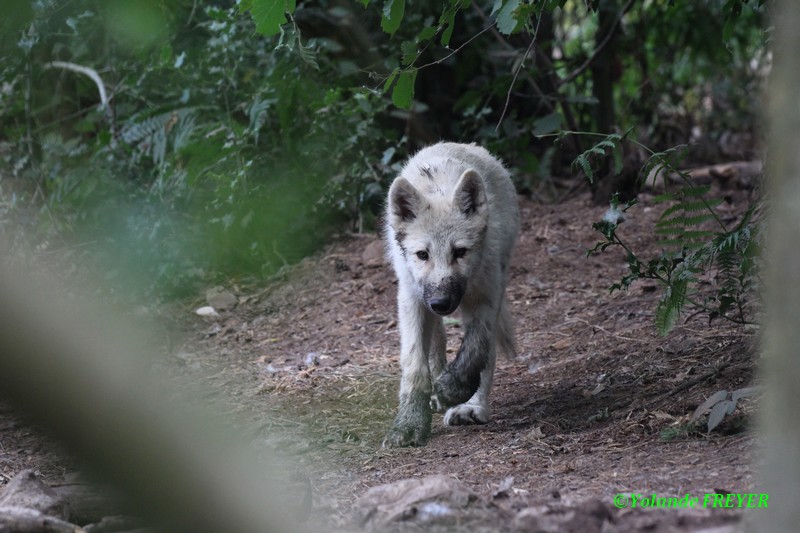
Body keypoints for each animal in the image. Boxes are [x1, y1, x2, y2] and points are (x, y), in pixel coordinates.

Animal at [384, 141, 520, 444]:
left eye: (460, 252)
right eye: (422, 255)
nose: (442, 303)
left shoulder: (486, 295)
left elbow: (476, 350)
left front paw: (452, 390)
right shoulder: (412, 301)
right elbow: (414, 366)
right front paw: (409, 424)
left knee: (486, 353)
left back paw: (471, 407)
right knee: (437, 343)